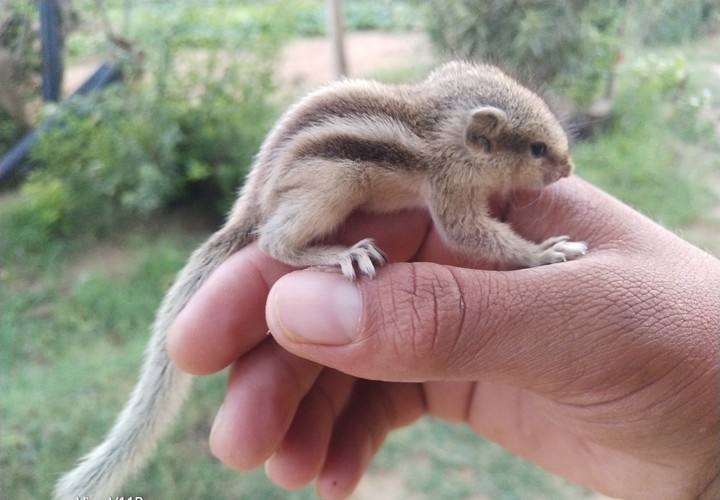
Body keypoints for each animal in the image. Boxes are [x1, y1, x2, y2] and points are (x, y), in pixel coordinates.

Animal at [54, 60, 587, 498]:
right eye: (537, 149)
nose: (569, 167)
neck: (441, 130)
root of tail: (253, 202)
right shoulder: (449, 192)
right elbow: (470, 236)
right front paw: (546, 251)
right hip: (332, 185)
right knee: (273, 241)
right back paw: (342, 254)